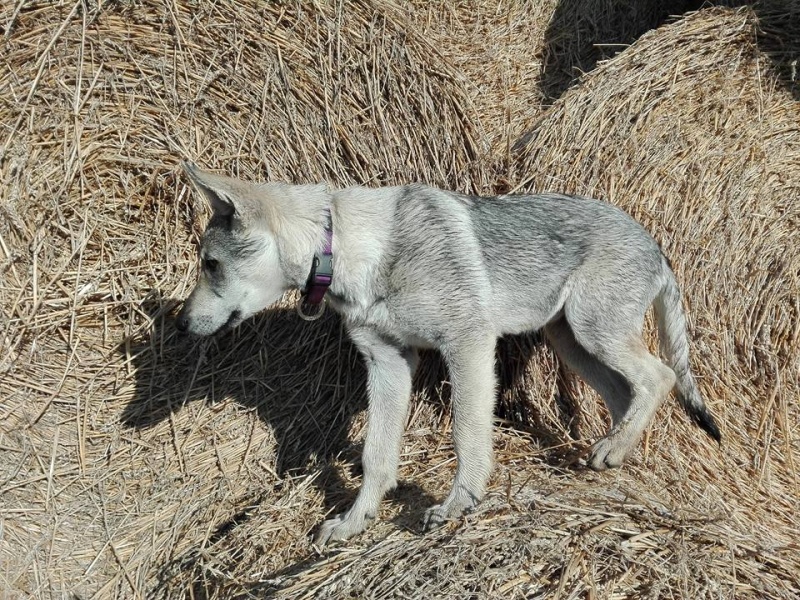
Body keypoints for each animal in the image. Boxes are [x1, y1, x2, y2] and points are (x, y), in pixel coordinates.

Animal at [177, 162, 724, 548]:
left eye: (210, 264)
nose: (180, 325)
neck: (353, 247)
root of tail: (655, 243)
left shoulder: (467, 346)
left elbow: (468, 436)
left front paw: (459, 504)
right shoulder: (388, 364)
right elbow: (377, 456)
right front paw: (355, 521)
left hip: (594, 333)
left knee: (660, 376)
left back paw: (613, 449)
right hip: (572, 342)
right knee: (625, 392)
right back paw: (611, 453)